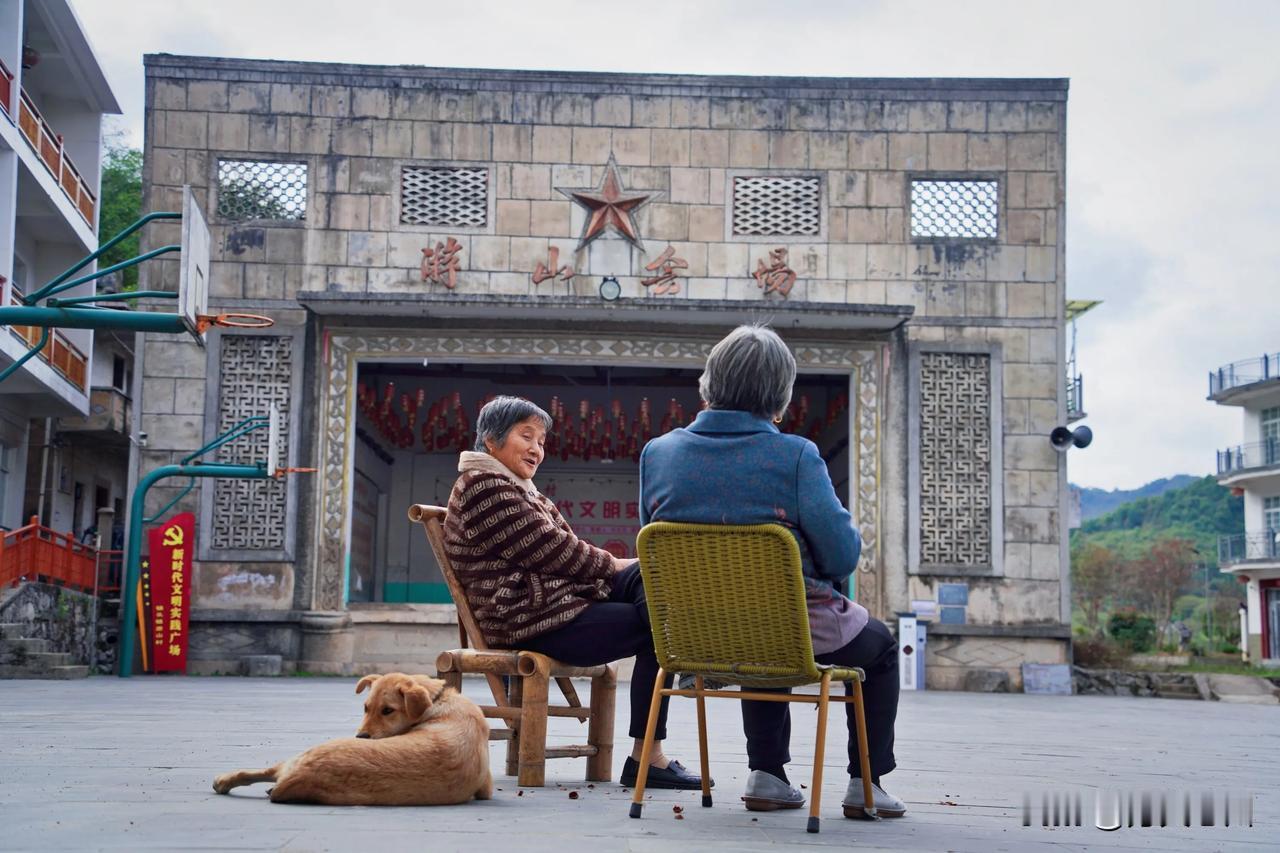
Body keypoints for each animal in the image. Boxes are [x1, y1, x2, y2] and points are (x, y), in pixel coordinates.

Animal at [209, 671, 488, 804]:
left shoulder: (485, 790)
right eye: (365, 707)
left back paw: (224, 782)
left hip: (306, 754)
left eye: (388, 710)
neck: (438, 700)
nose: (360, 736)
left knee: (265, 772)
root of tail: (297, 777)